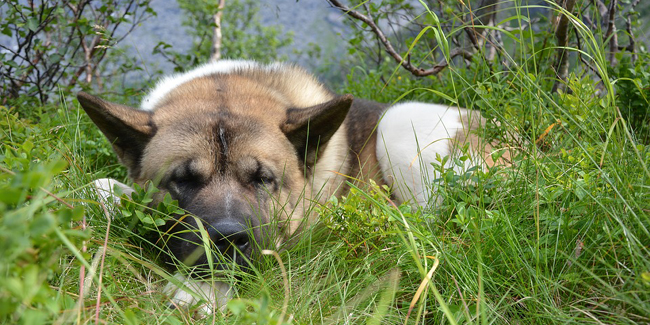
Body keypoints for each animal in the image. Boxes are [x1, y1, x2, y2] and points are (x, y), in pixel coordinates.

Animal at [77, 59, 512, 312]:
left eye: (263, 179)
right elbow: (98, 185)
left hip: (399, 125)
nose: (228, 239)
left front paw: (201, 291)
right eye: (182, 180)